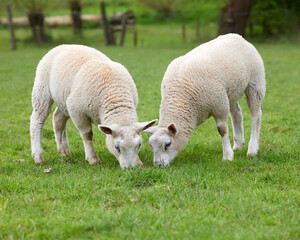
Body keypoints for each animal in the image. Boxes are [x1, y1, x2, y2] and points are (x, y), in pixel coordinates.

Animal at [145, 33, 264, 167]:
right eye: (151, 146)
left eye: (167, 144)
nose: (158, 165)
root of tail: (237, 36)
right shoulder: (221, 100)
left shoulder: (219, 105)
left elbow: (222, 130)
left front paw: (227, 156)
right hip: (229, 92)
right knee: (237, 113)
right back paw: (238, 145)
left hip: (255, 83)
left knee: (256, 115)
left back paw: (252, 149)